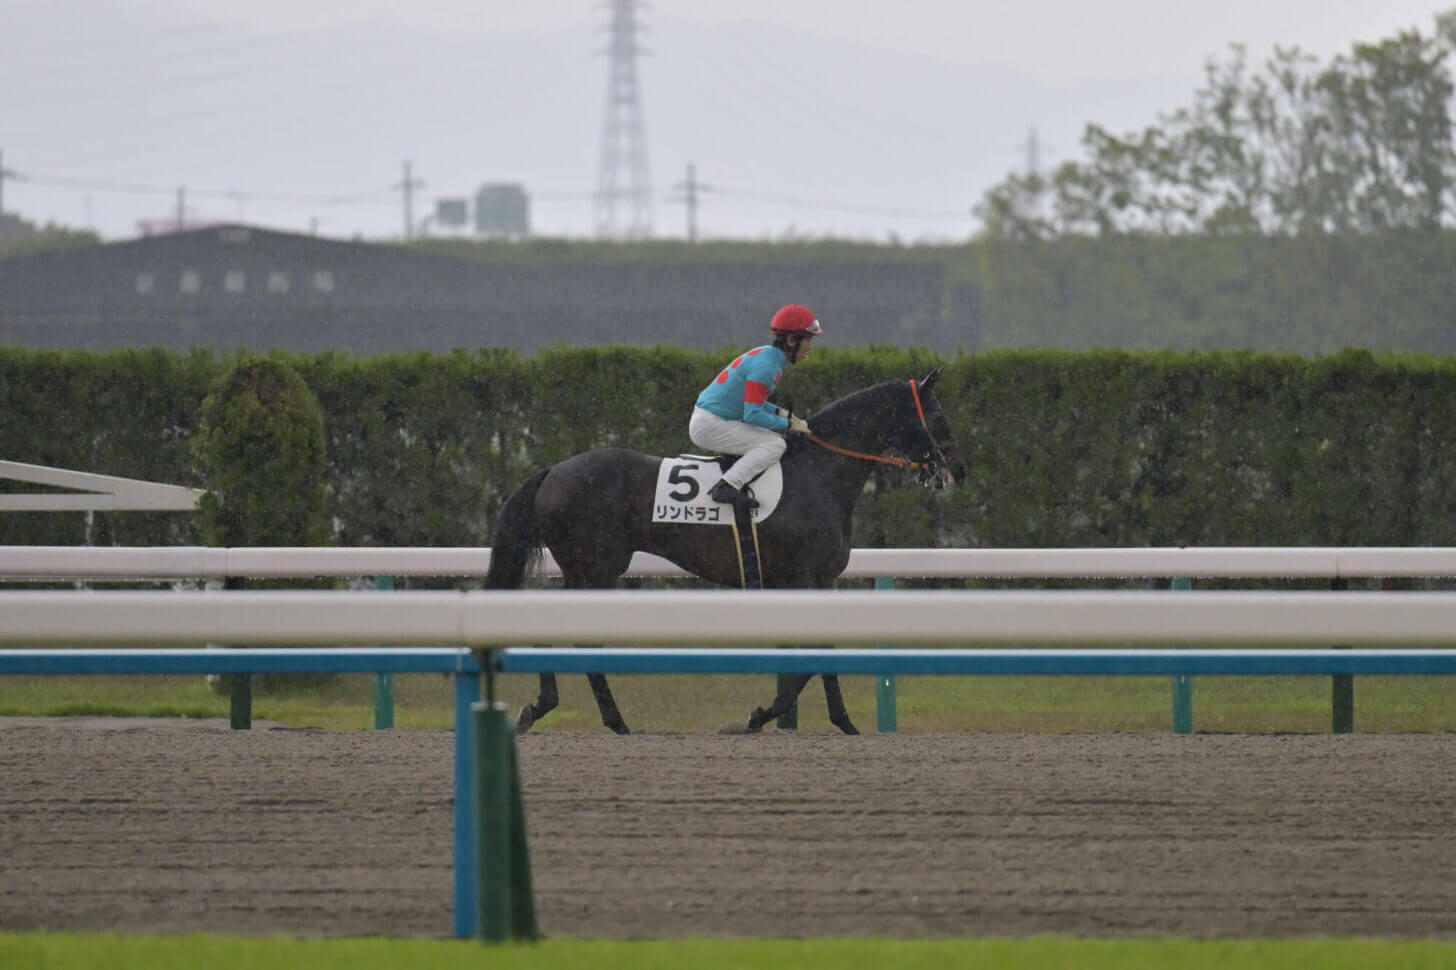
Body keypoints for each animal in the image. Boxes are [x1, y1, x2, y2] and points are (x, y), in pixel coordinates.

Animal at [486, 369, 966, 734]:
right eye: (939, 415)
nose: (957, 470)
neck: (819, 474)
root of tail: (552, 471)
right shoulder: (802, 578)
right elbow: (809, 659)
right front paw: (758, 717)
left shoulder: (820, 582)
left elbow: (822, 652)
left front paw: (844, 722)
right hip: (598, 567)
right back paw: (597, 717)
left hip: (582, 568)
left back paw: (565, 711)